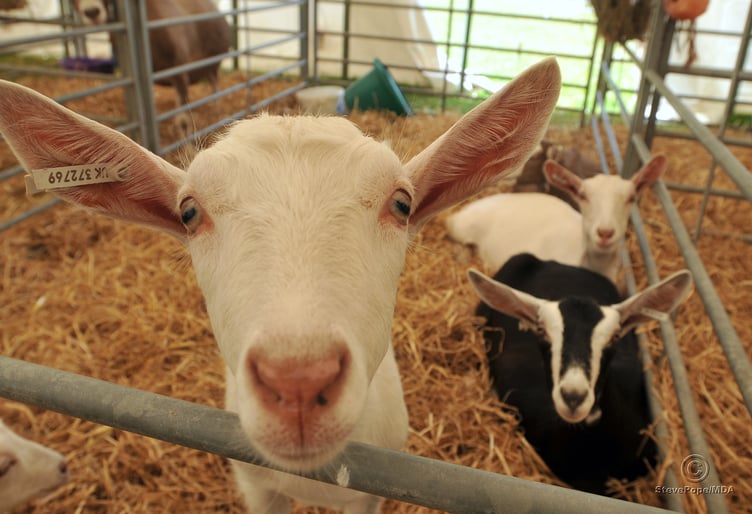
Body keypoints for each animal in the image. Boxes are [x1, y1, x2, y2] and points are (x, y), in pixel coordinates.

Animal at [71, 0, 232, 136]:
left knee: (215, 87)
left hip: (212, 65)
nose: (92, 11)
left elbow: (184, 121)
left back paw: (217, 111)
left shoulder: (180, 71)